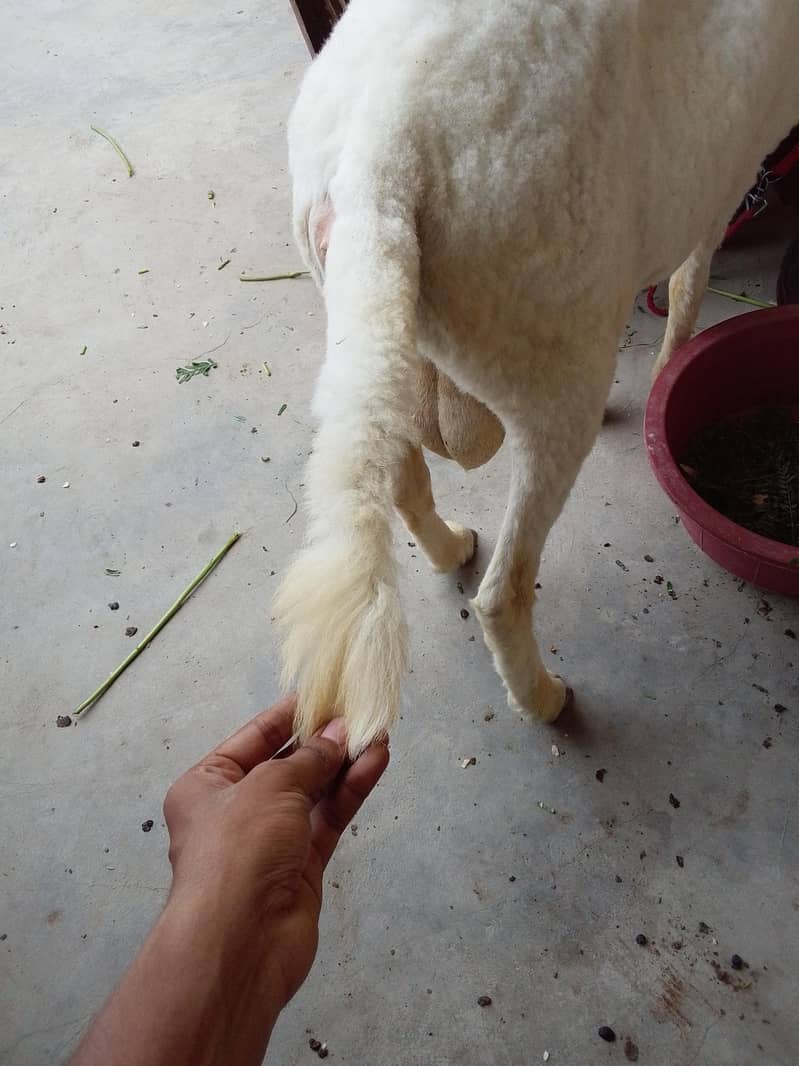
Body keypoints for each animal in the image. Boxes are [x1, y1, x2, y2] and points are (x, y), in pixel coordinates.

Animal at [274, 0, 799, 757]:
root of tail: (379, 165)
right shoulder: (720, 179)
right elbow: (687, 284)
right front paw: (670, 364)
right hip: (547, 364)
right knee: (503, 591)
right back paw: (544, 698)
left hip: (375, 329)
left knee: (400, 476)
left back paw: (449, 546)